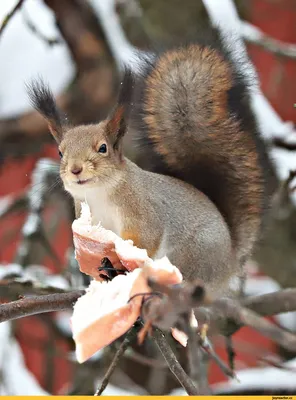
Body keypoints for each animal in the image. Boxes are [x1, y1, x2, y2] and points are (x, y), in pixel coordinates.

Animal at [26, 25, 274, 294]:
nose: (75, 169)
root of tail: (228, 263)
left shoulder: (142, 209)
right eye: (60, 152)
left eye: (103, 148)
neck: (99, 194)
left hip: (193, 255)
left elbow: (145, 238)